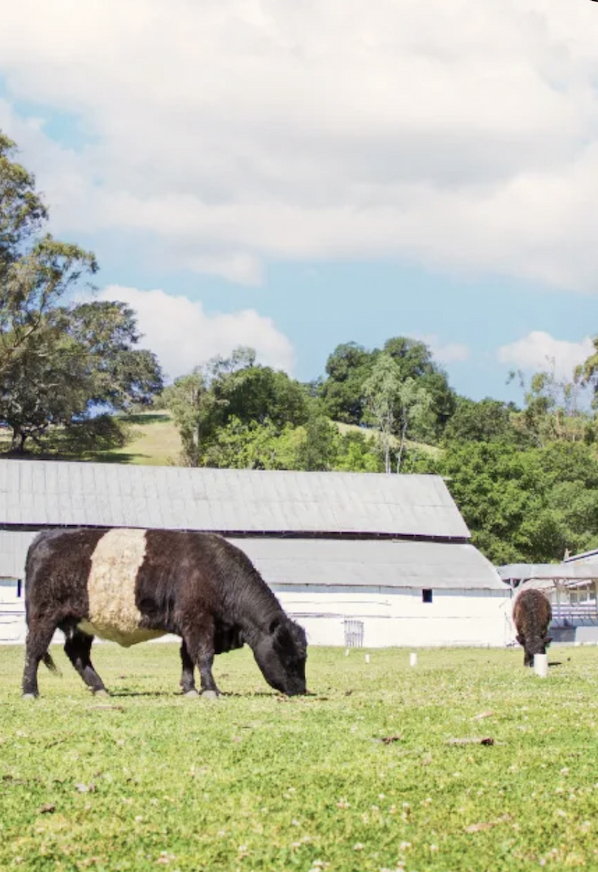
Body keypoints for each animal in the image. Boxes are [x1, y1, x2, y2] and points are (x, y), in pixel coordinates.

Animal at [21, 527, 308, 700]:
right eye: (289, 654)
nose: (302, 690)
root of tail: (47, 536)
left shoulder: (191, 626)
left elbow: (187, 657)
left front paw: (190, 689)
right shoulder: (198, 621)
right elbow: (203, 656)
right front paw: (211, 690)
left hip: (81, 624)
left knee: (77, 654)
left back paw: (101, 688)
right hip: (43, 616)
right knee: (34, 650)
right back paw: (30, 691)